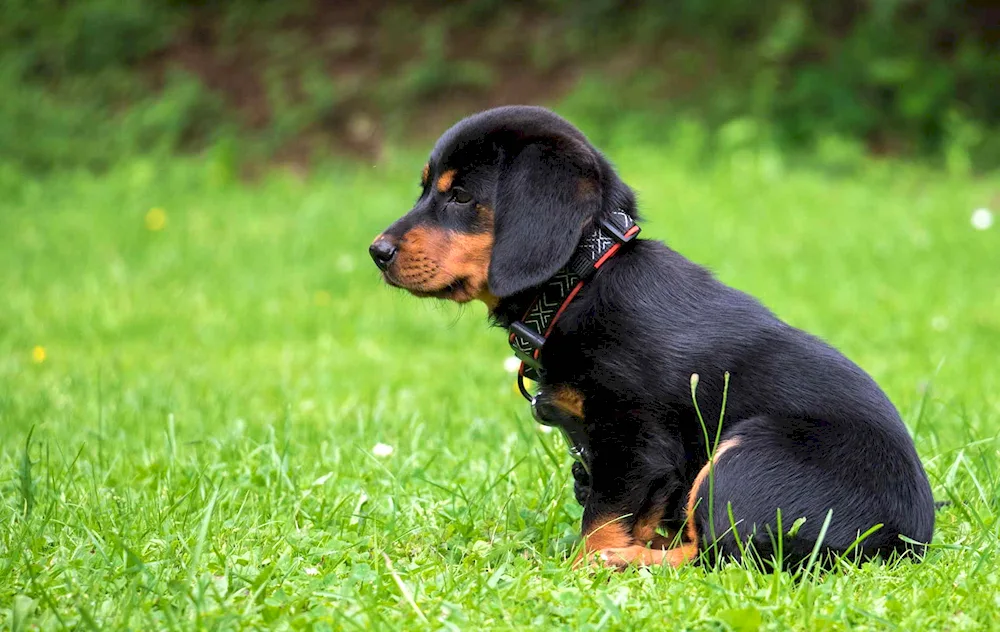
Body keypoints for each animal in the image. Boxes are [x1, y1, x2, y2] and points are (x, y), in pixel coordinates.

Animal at [370, 106, 936, 572]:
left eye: (461, 195)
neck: (581, 279)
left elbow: (602, 520)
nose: (376, 252)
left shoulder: (633, 440)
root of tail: (900, 543)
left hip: (744, 455)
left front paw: (585, 565)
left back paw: (620, 562)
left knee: (720, 554)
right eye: (425, 189)